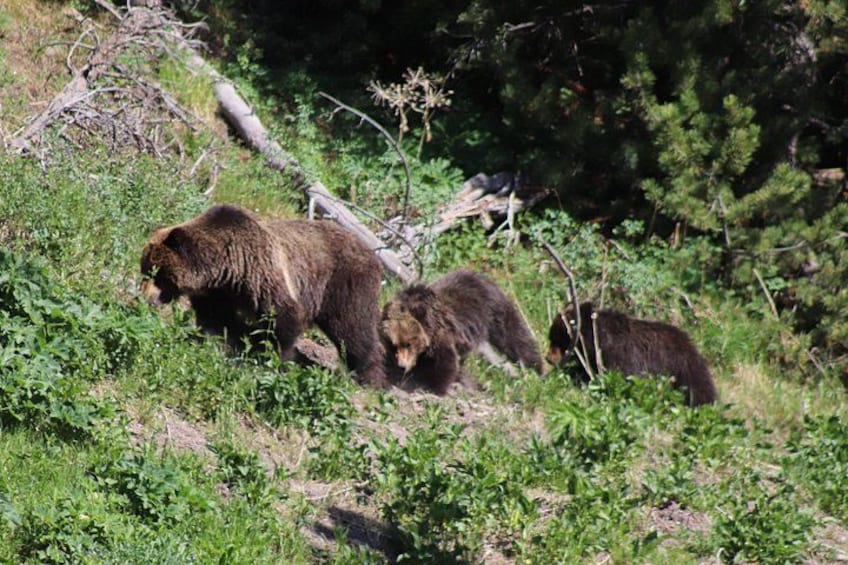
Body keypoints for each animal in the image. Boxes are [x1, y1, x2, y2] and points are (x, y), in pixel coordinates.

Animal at [140, 203, 387, 387]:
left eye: (157, 274)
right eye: (145, 269)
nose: (146, 298)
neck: (227, 267)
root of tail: (373, 256)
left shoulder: (261, 273)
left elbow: (282, 318)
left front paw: (273, 357)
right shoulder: (218, 293)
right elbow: (217, 320)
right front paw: (220, 340)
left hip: (344, 284)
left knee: (352, 328)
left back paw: (368, 376)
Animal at [380, 269, 543, 394]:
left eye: (408, 343)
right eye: (395, 344)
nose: (401, 364)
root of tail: (478, 275)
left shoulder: (442, 337)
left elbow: (444, 365)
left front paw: (435, 386)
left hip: (494, 311)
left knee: (514, 336)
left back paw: (537, 368)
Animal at [547, 302, 718, 406]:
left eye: (557, 339)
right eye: (551, 338)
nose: (548, 358)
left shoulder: (622, 357)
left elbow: (625, 378)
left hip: (684, 367)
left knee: (699, 388)